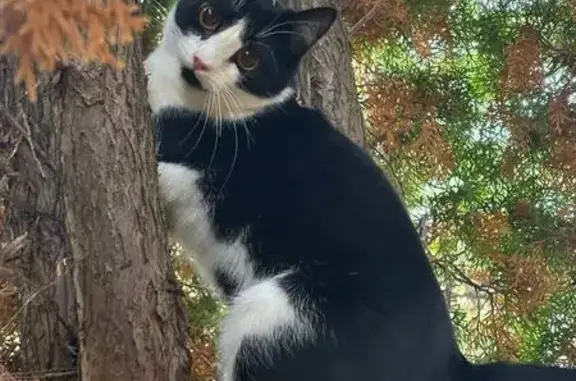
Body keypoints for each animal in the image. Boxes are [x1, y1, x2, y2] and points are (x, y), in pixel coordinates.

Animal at [145, 0, 576, 380]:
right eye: (209, 16)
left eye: (249, 58)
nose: (200, 62)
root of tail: (453, 363)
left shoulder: (232, 179)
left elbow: (184, 180)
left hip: (280, 313)